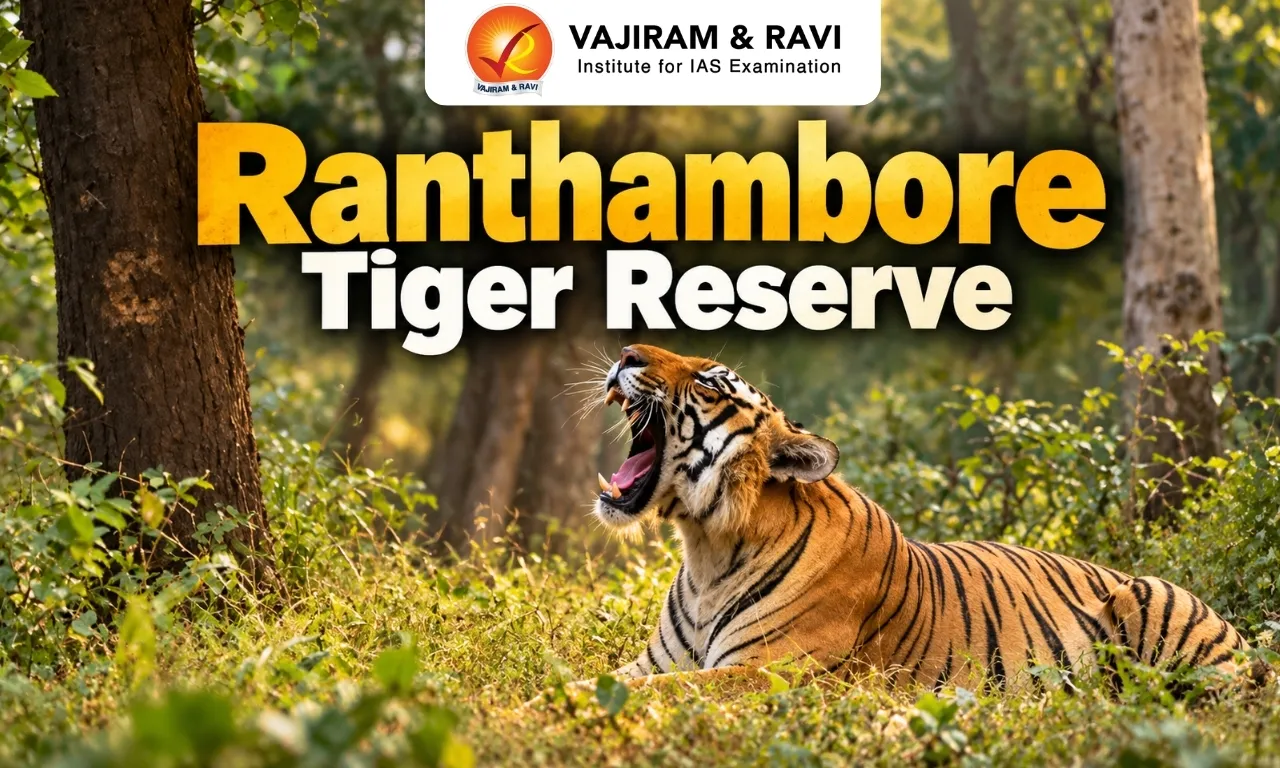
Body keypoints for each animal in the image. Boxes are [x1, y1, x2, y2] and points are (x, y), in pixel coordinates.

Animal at [589, 343, 1262, 692]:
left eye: (708, 381)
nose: (625, 352)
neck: (708, 545)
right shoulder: (659, 661)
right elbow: (599, 673)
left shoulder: (768, 671)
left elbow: (632, 692)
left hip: (1153, 603)